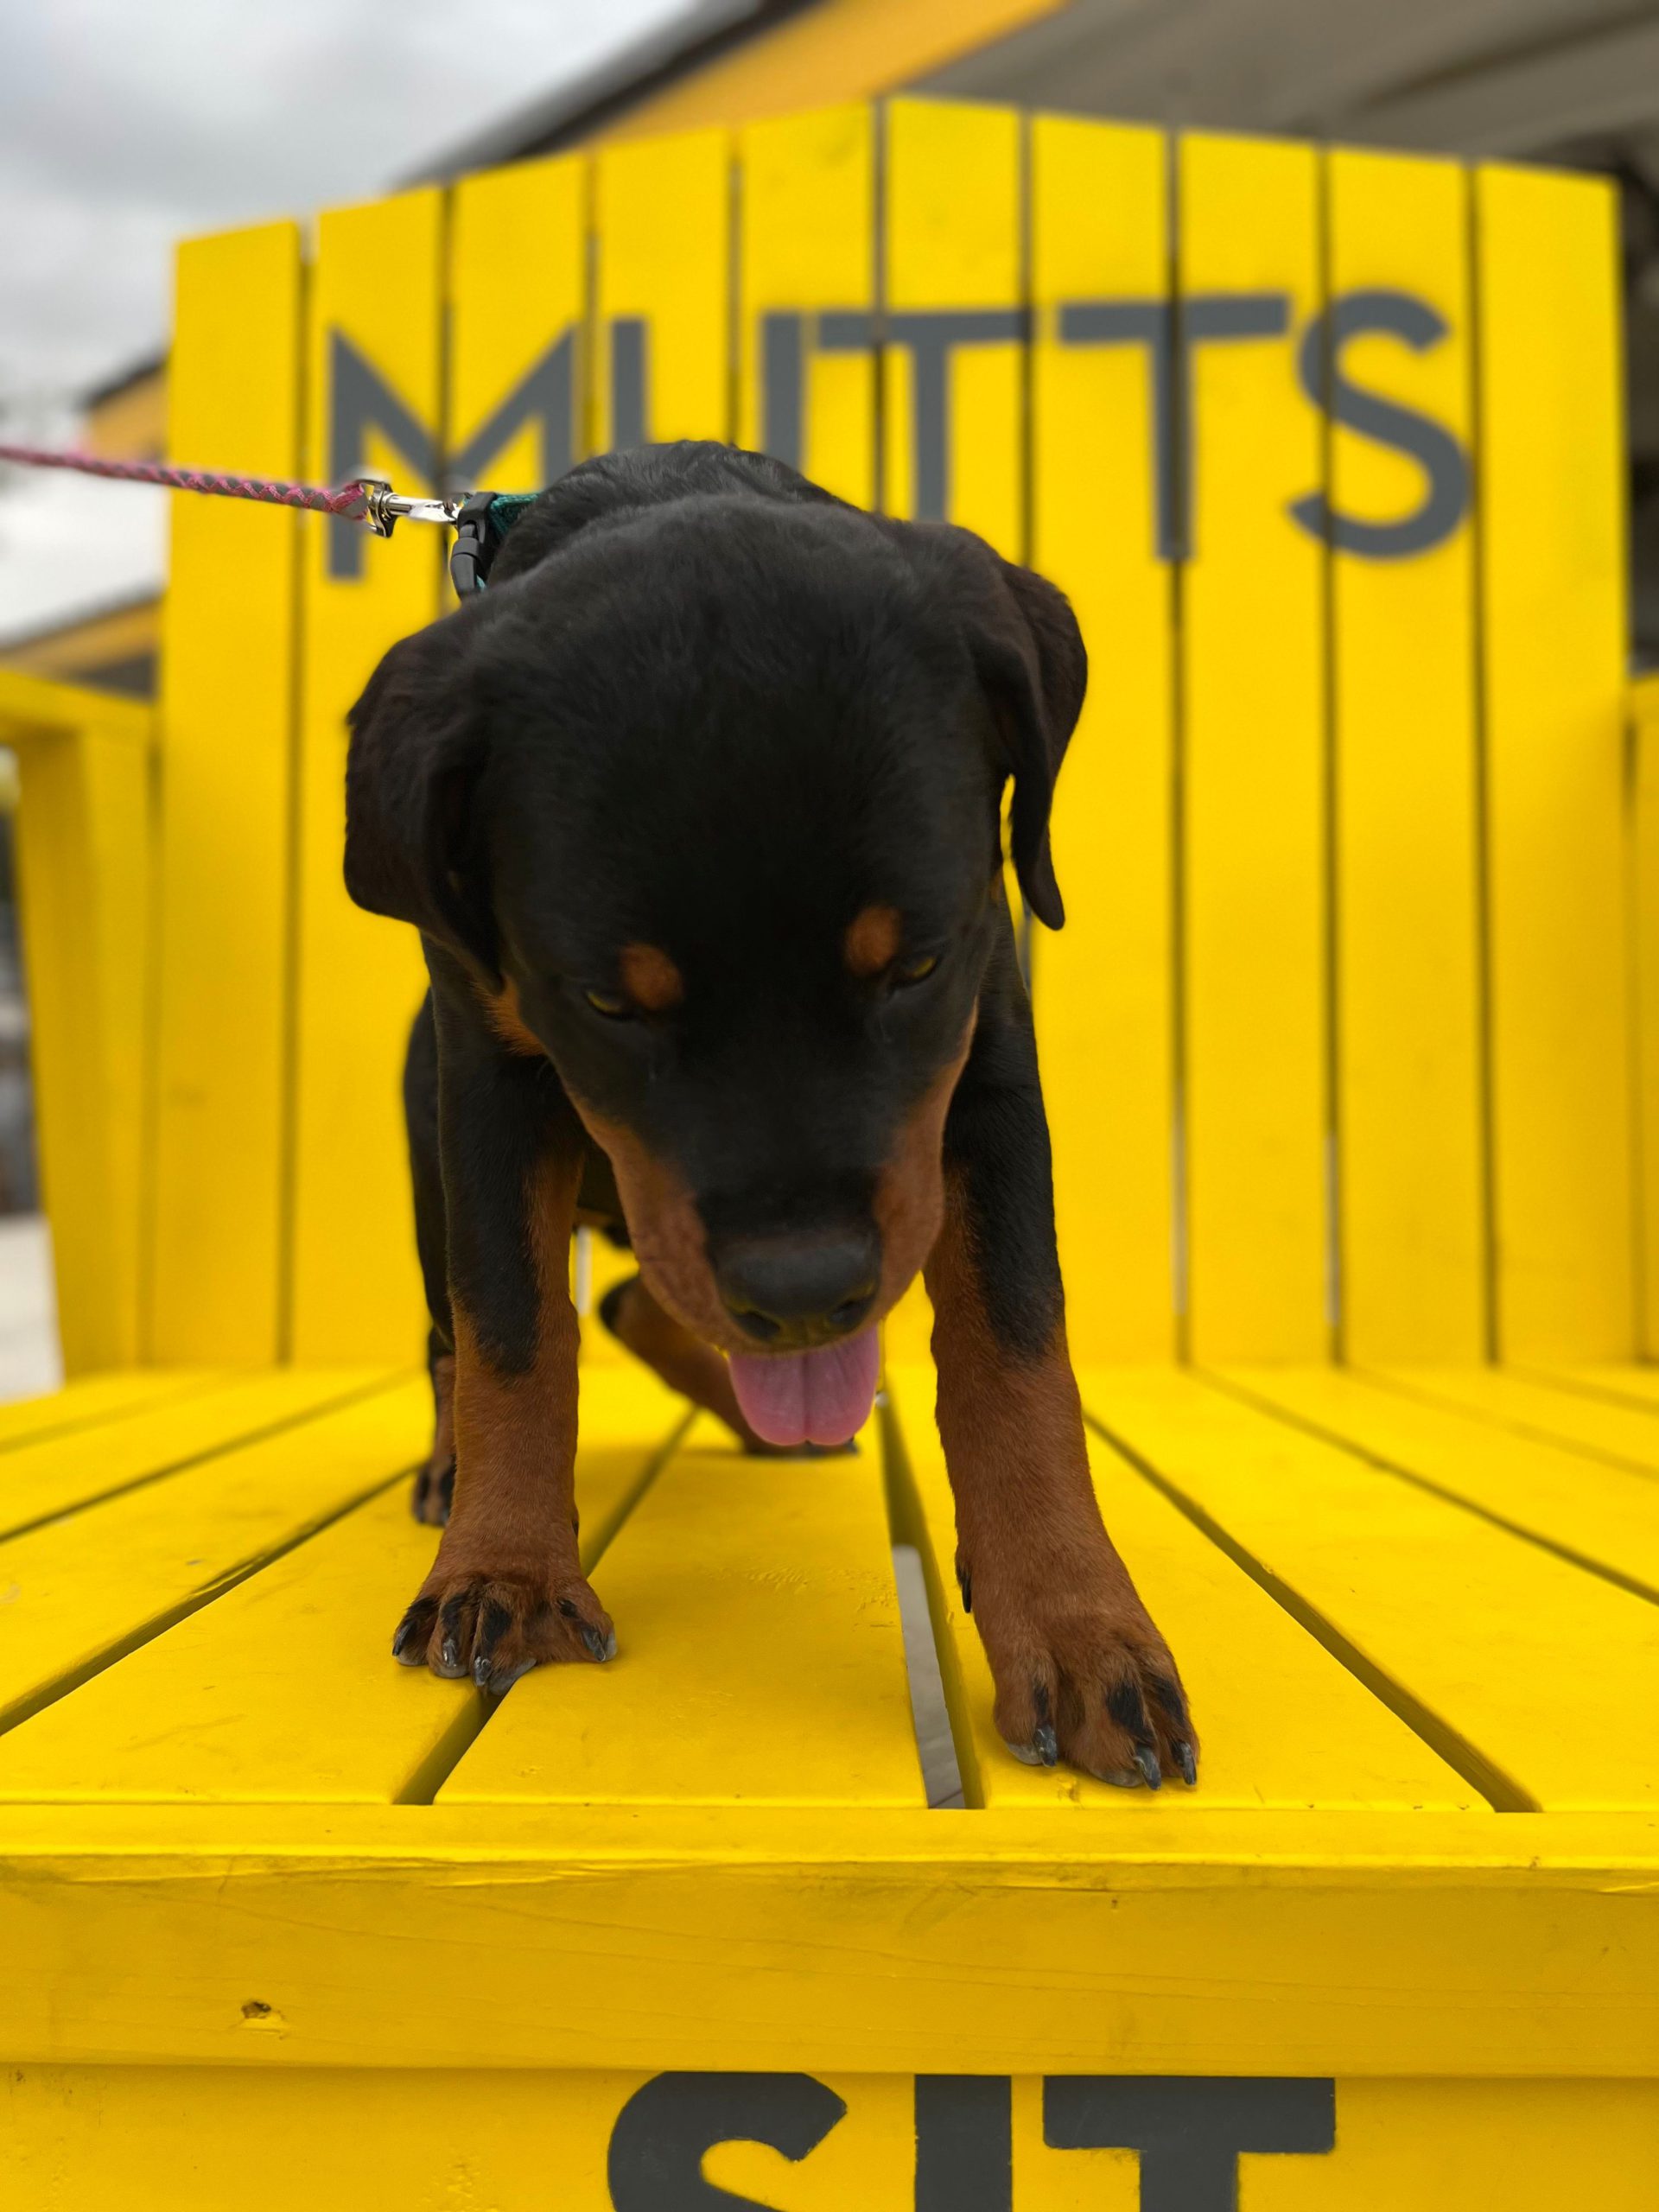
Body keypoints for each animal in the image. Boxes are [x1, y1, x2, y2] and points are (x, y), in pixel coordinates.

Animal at [346, 440, 1194, 1787]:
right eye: (607, 1001)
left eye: (916, 965)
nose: (804, 1291)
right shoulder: (487, 1085)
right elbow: (514, 1339)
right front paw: (504, 1570)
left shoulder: (992, 1067)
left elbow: (1018, 1355)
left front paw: (1079, 1626)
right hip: (437, 1166)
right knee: (464, 1333)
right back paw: (453, 1472)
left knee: (638, 1299)